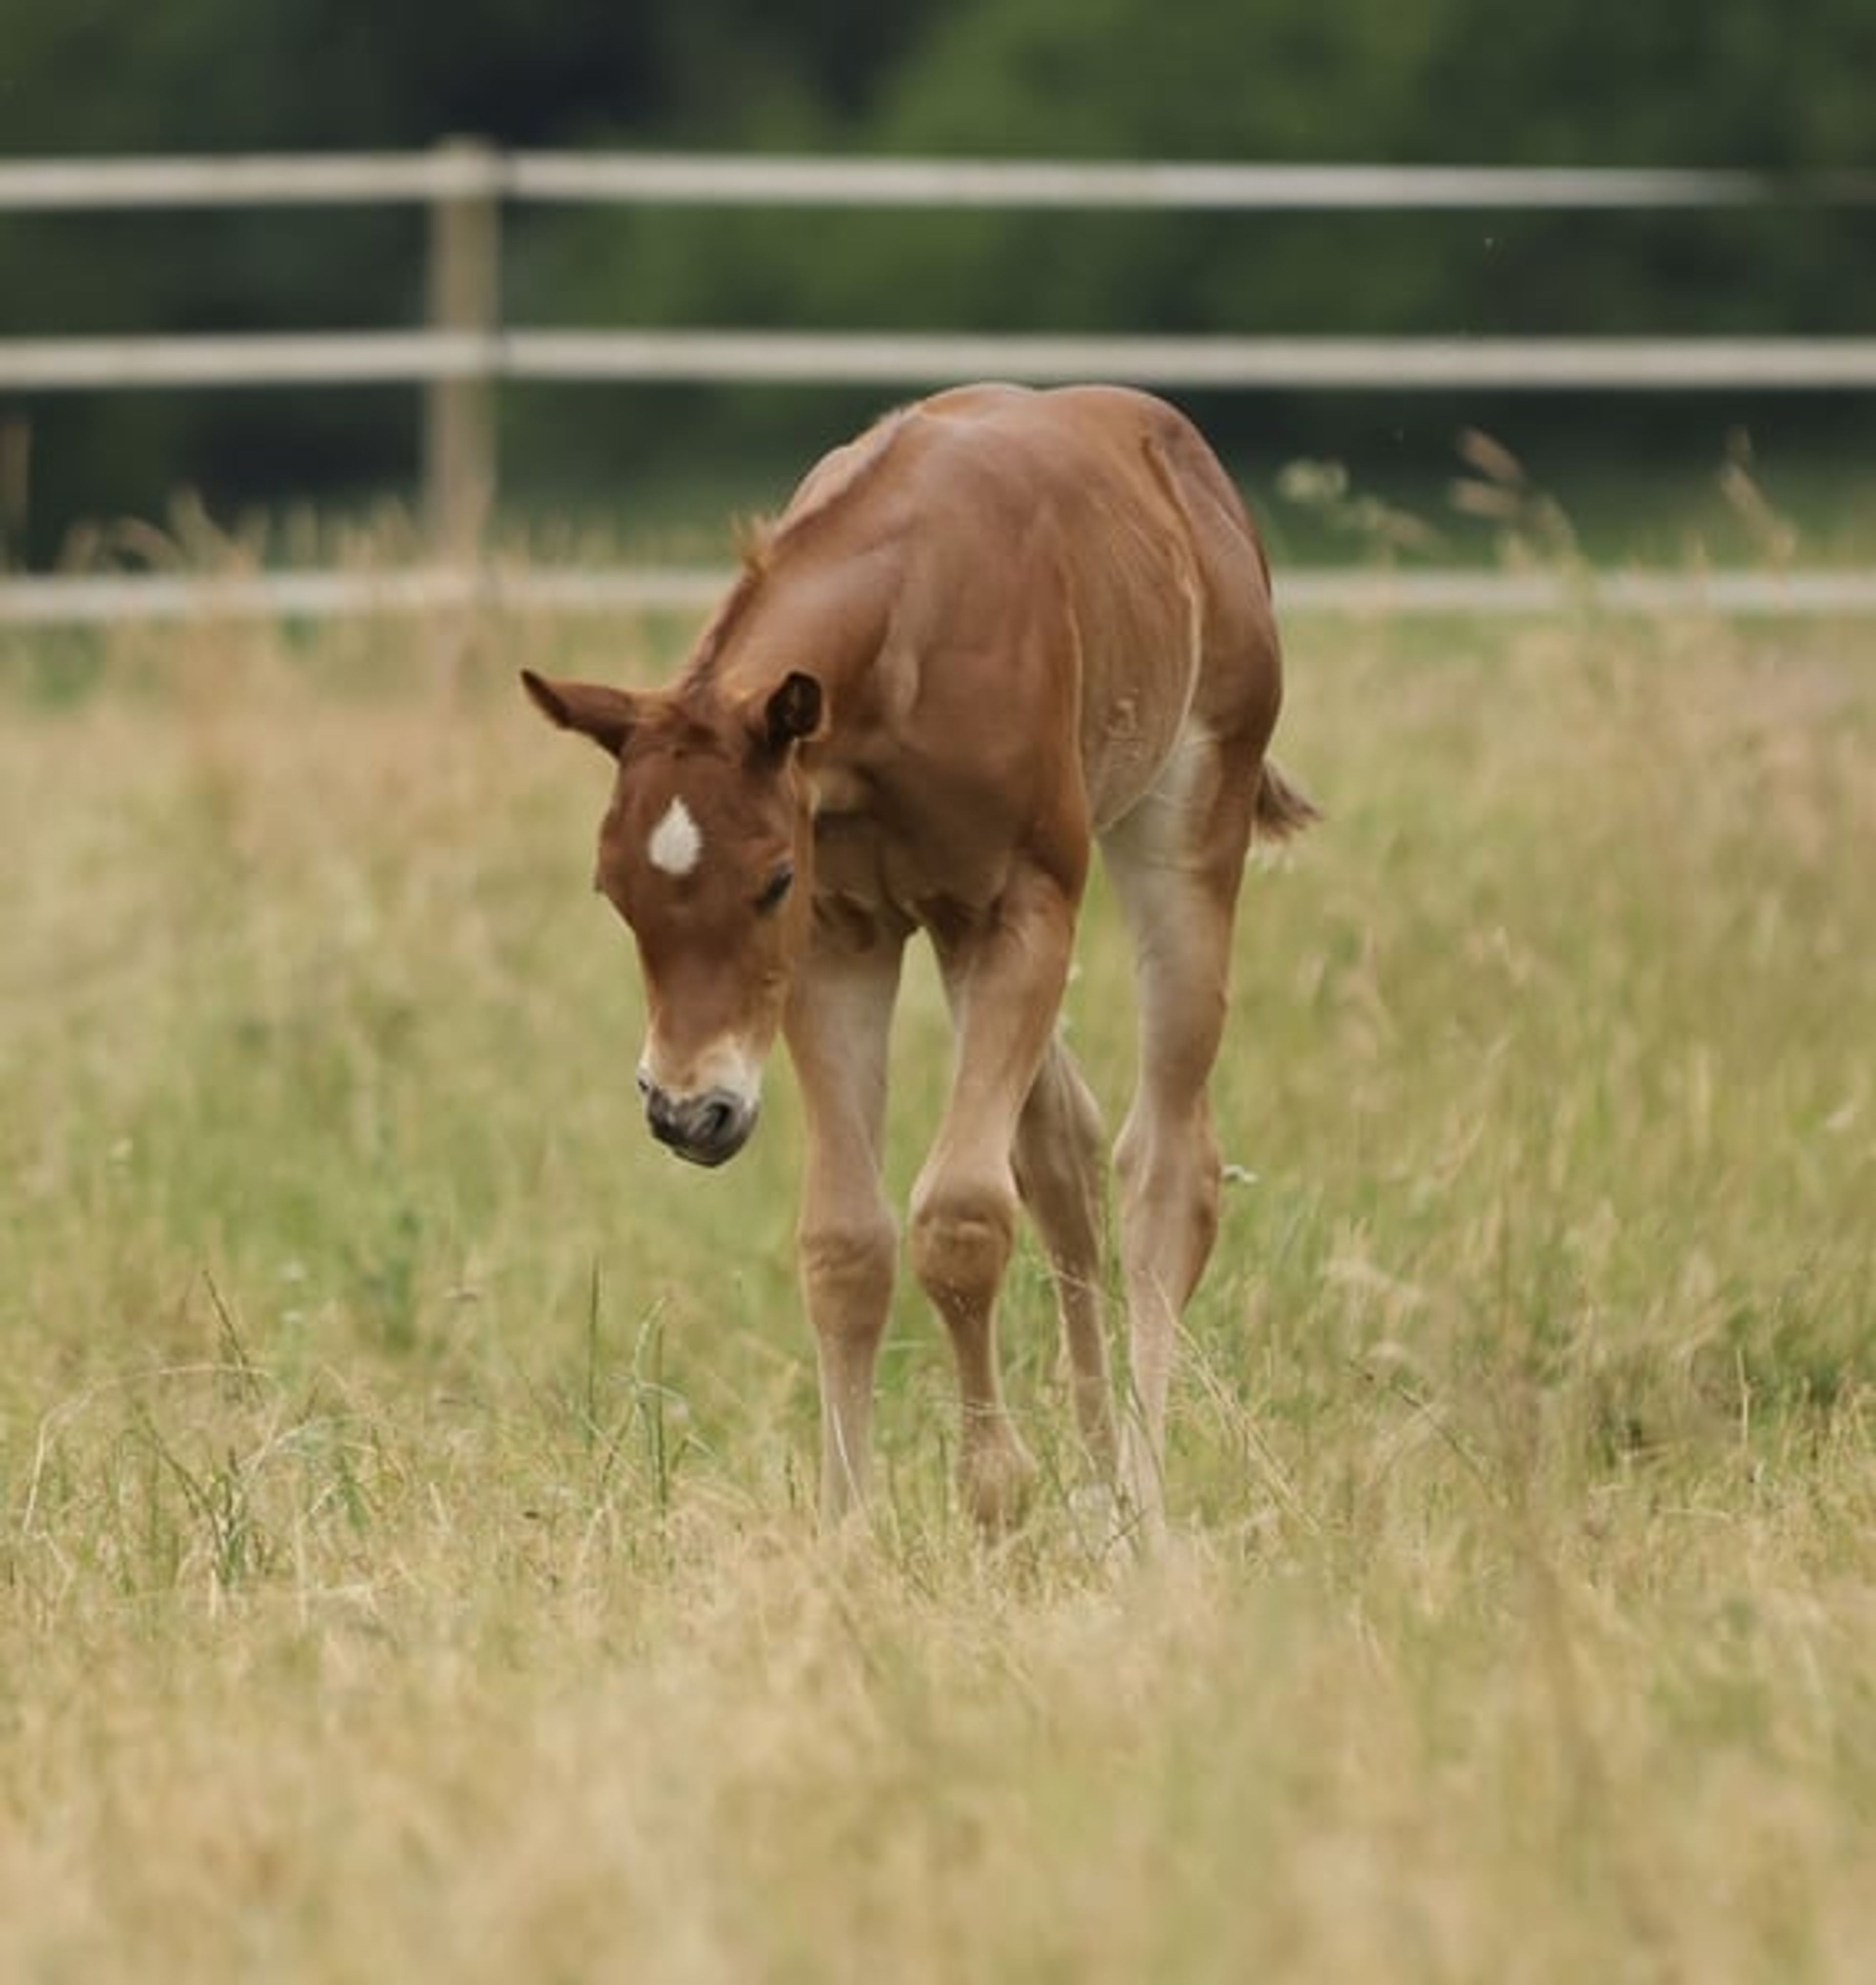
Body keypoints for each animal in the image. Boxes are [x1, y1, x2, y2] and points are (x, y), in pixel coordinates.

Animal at [523, 382, 1314, 1539]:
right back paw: (1096, 1481)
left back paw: (1140, 1503)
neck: (914, 631)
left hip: (1184, 825)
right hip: (949, 932)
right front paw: (847, 1534)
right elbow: (849, 1241)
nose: (687, 1111)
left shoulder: (1016, 906)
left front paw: (993, 1495)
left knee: (1167, 1161)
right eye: (612, 891)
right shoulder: (842, 937)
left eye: (770, 880)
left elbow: (963, 1217)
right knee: (1064, 1150)